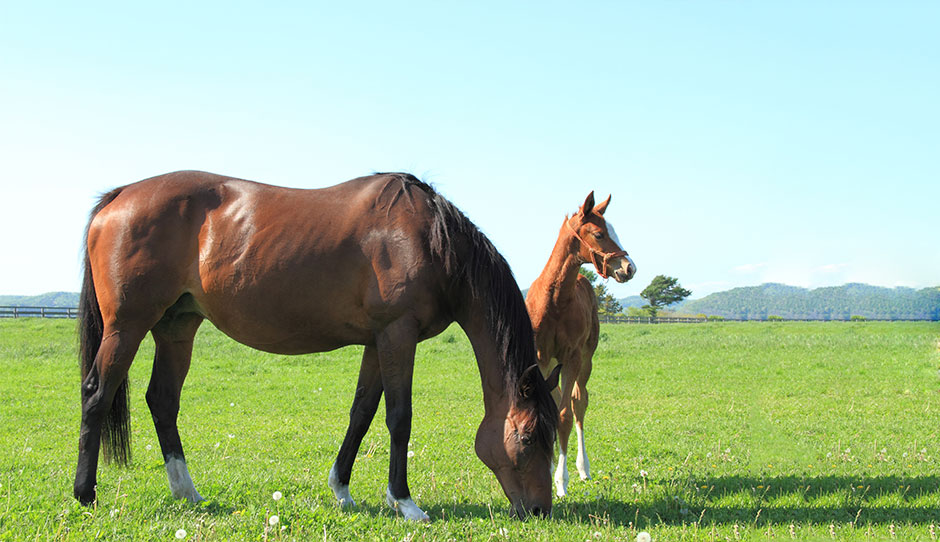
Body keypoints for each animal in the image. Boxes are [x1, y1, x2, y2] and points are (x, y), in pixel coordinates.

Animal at [75, 172, 560, 520]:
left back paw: (186, 492)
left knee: (162, 400)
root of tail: (118, 197)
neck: (429, 240)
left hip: (177, 327)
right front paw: (404, 502)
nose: (539, 510)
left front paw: (342, 491)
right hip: (127, 326)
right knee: (97, 393)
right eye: (528, 435)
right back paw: (86, 494)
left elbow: (362, 413)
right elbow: (399, 418)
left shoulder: (378, 341)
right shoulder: (398, 334)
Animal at [524, 193, 636, 500]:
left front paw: (562, 481)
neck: (554, 300)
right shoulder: (540, 358)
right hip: (553, 364)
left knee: (579, 403)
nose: (629, 268)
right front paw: (547, 467)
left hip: (586, 360)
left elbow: (564, 415)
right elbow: (547, 407)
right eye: (599, 234)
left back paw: (583, 468)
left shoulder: (572, 357)